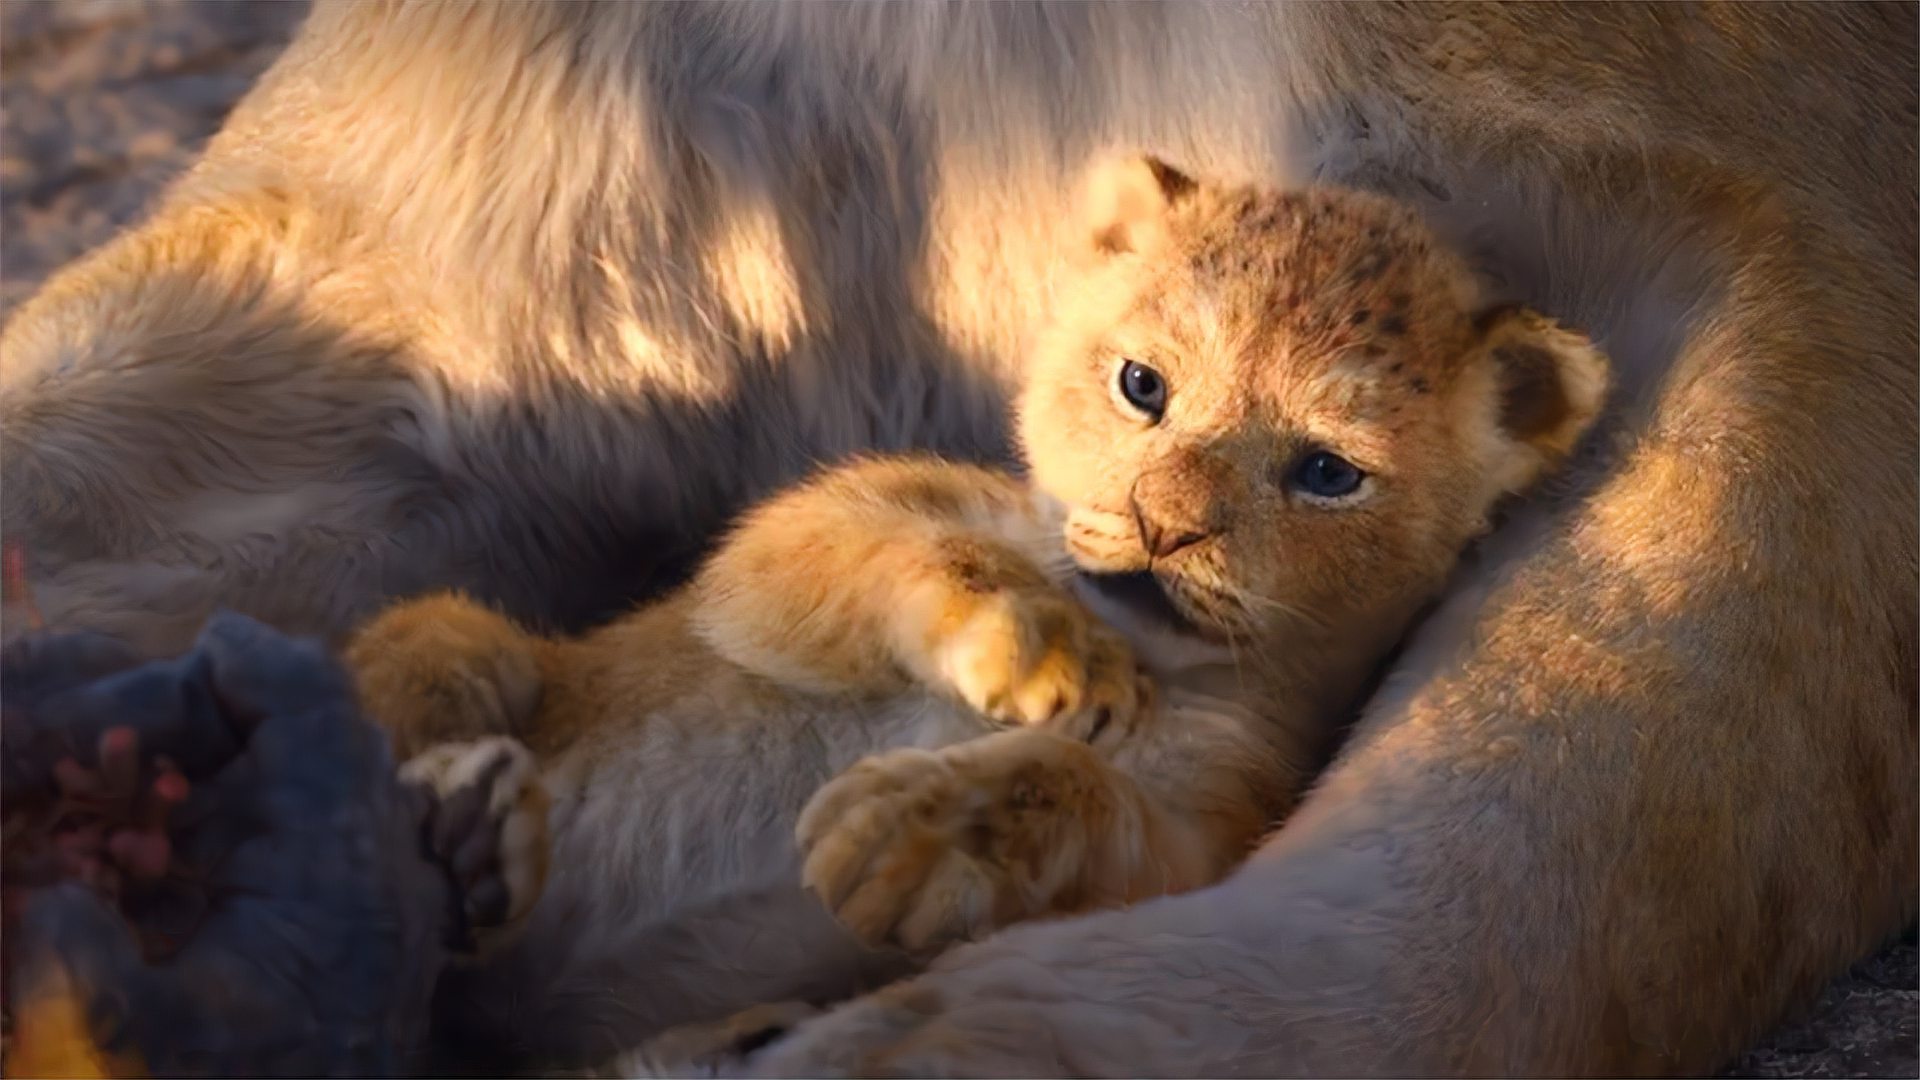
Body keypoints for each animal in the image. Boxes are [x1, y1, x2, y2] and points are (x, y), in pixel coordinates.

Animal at [0, 4, 1912, 1068]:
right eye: (1142, 383)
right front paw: (1020, 645)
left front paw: (918, 863)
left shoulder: (1770, 263)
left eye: (1331, 473)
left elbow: (1540, 869)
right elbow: (851, 563)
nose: (1160, 532)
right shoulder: (432, 264)